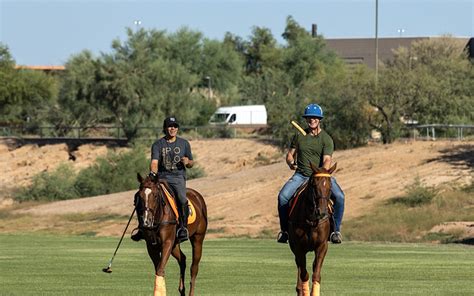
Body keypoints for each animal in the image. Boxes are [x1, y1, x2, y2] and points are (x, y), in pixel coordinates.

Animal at [286, 163, 336, 296]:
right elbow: (304, 274)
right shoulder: (298, 247)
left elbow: (316, 274)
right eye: (314, 185)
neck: (311, 219)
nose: (322, 212)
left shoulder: (322, 246)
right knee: (299, 267)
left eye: (330, 186)